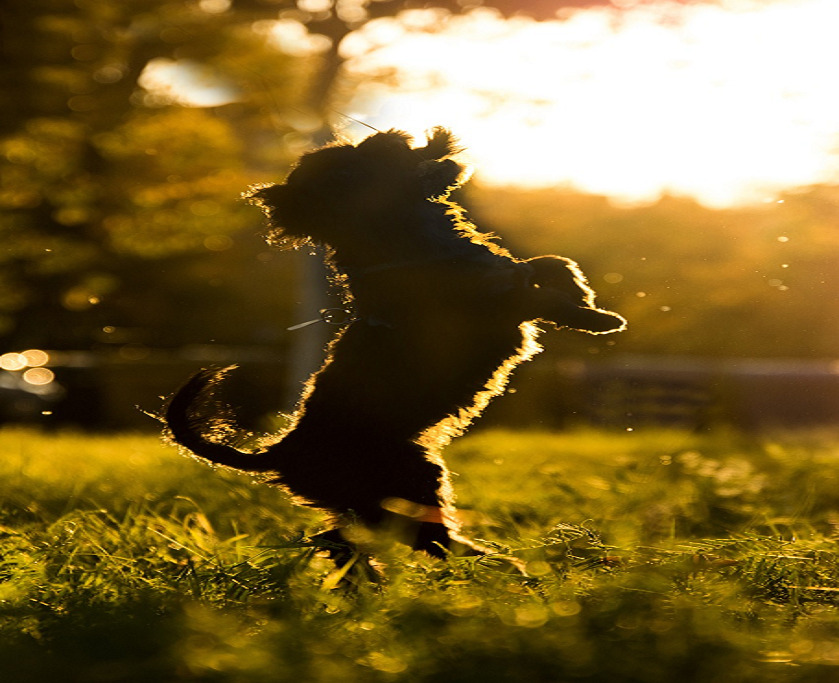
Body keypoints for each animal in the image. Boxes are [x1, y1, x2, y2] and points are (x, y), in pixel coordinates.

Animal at [166, 128, 624, 572]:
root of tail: (278, 452)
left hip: (368, 501)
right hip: (409, 483)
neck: (409, 241)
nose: (385, 136)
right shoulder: (492, 306)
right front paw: (601, 320)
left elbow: (550, 263)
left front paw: (585, 297)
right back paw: (502, 569)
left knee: (339, 541)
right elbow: (541, 295)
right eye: (348, 170)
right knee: (421, 541)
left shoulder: (509, 278)